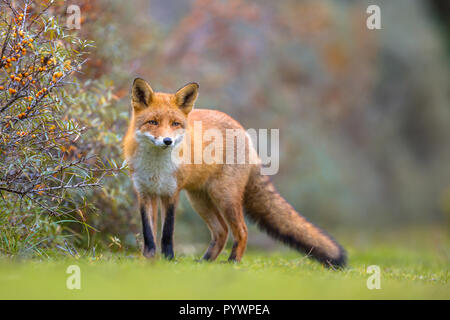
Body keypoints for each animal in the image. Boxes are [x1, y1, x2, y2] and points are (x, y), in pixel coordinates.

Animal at [121, 77, 346, 268]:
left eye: (175, 124)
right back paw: (205, 262)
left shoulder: (171, 194)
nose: (167, 141)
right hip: (200, 199)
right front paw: (149, 260)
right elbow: (149, 233)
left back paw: (232, 263)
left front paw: (168, 260)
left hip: (224, 197)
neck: (155, 167)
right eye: (153, 122)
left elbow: (167, 232)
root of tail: (243, 131)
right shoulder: (145, 193)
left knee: (241, 231)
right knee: (222, 231)